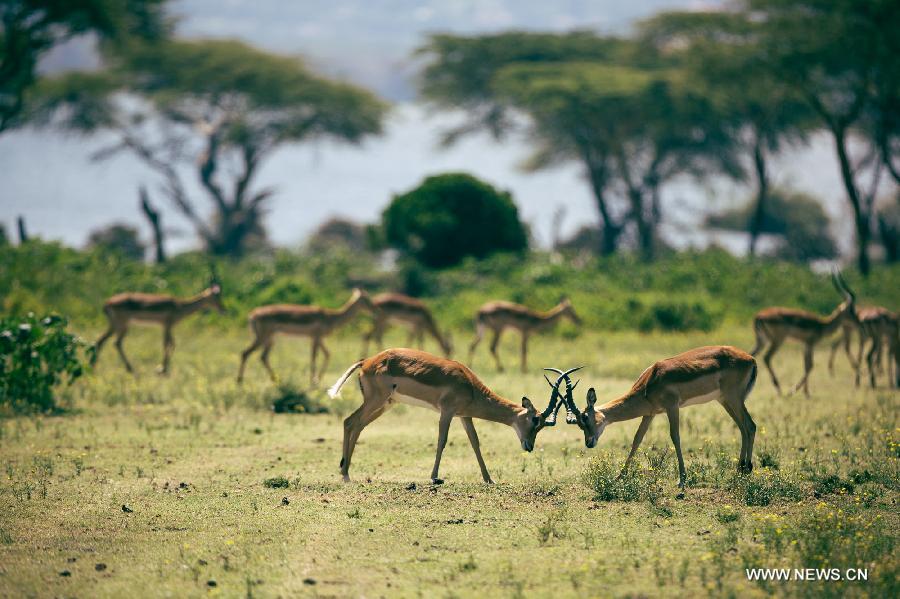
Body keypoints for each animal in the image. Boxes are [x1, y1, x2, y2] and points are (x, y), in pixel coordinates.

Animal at [92, 282, 225, 376]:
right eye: (216, 297)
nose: (223, 310)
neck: (180, 306)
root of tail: (107, 303)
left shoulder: (167, 327)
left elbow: (172, 344)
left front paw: (162, 369)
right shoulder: (167, 325)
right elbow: (168, 344)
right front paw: (161, 369)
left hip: (115, 326)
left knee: (101, 341)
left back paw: (93, 367)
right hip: (122, 325)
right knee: (116, 342)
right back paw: (129, 369)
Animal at [237, 290, 374, 384]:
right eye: (366, 299)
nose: (374, 308)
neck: (331, 317)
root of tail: (252, 314)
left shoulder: (318, 339)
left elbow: (327, 355)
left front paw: (317, 380)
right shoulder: (316, 337)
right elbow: (314, 357)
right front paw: (313, 382)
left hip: (269, 340)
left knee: (262, 356)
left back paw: (275, 380)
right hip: (263, 338)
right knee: (246, 353)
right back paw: (240, 382)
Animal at [326, 350, 572, 486]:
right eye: (535, 420)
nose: (529, 446)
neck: (469, 385)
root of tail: (367, 361)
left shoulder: (465, 416)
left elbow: (475, 443)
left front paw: (489, 479)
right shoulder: (447, 412)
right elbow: (442, 441)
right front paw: (435, 477)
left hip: (386, 404)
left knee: (355, 424)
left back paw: (345, 471)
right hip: (376, 400)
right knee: (351, 421)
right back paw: (345, 475)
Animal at [552, 346, 756, 492]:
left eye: (585, 419)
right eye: (579, 424)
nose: (589, 443)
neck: (649, 383)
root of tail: (751, 359)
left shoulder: (672, 407)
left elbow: (675, 437)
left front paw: (682, 480)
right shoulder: (649, 414)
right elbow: (636, 440)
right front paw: (619, 477)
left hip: (733, 398)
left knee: (750, 426)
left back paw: (746, 469)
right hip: (725, 400)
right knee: (743, 428)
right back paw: (742, 469)